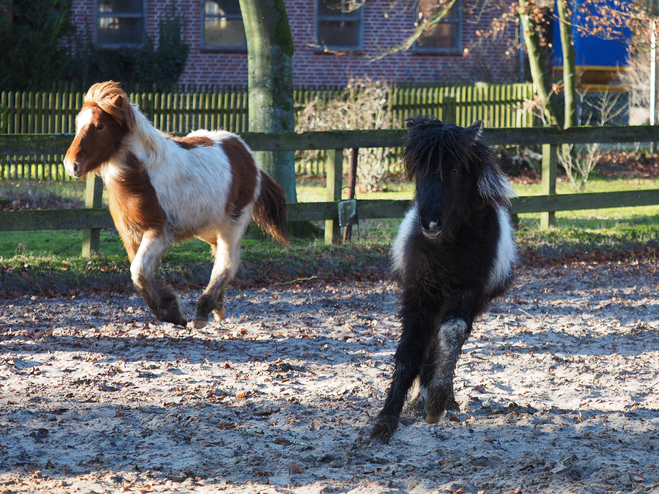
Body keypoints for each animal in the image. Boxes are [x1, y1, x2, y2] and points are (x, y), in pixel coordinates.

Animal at [63, 81, 286, 328]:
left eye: (100, 126)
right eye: (77, 123)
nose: (71, 165)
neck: (142, 175)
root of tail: (246, 153)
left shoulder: (158, 231)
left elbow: (138, 271)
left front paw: (172, 313)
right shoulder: (129, 235)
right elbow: (140, 274)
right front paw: (168, 308)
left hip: (233, 222)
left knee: (227, 261)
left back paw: (203, 311)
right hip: (208, 228)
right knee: (225, 257)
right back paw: (217, 307)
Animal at [372, 116, 516, 444]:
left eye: (454, 169)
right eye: (419, 171)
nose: (430, 223)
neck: (448, 246)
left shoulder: (468, 292)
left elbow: (451, 335)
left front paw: (438, 400)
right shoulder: (419, 293)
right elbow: (410, 349)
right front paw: (386, 420)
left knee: (442, 341)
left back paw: (438, 397)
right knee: (427, 343)